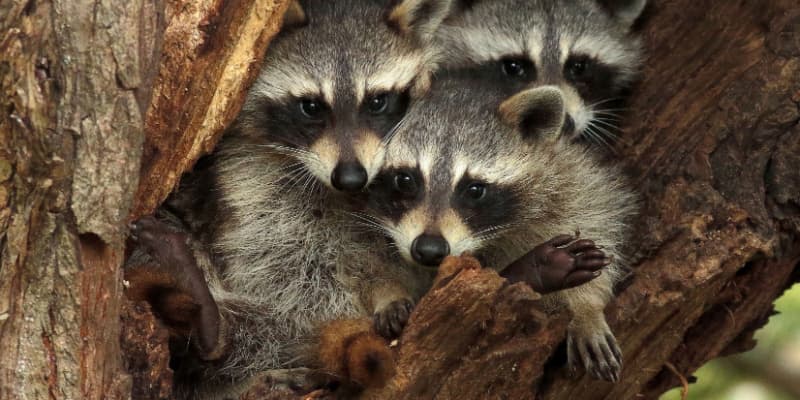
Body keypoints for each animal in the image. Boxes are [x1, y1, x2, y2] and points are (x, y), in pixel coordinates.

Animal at [366, 72, 638, 381]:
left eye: (474, 189)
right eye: (405, 180)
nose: (429, 249)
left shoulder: (565, 174)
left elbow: (596, 216)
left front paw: (586, 308)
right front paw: (387, 291)